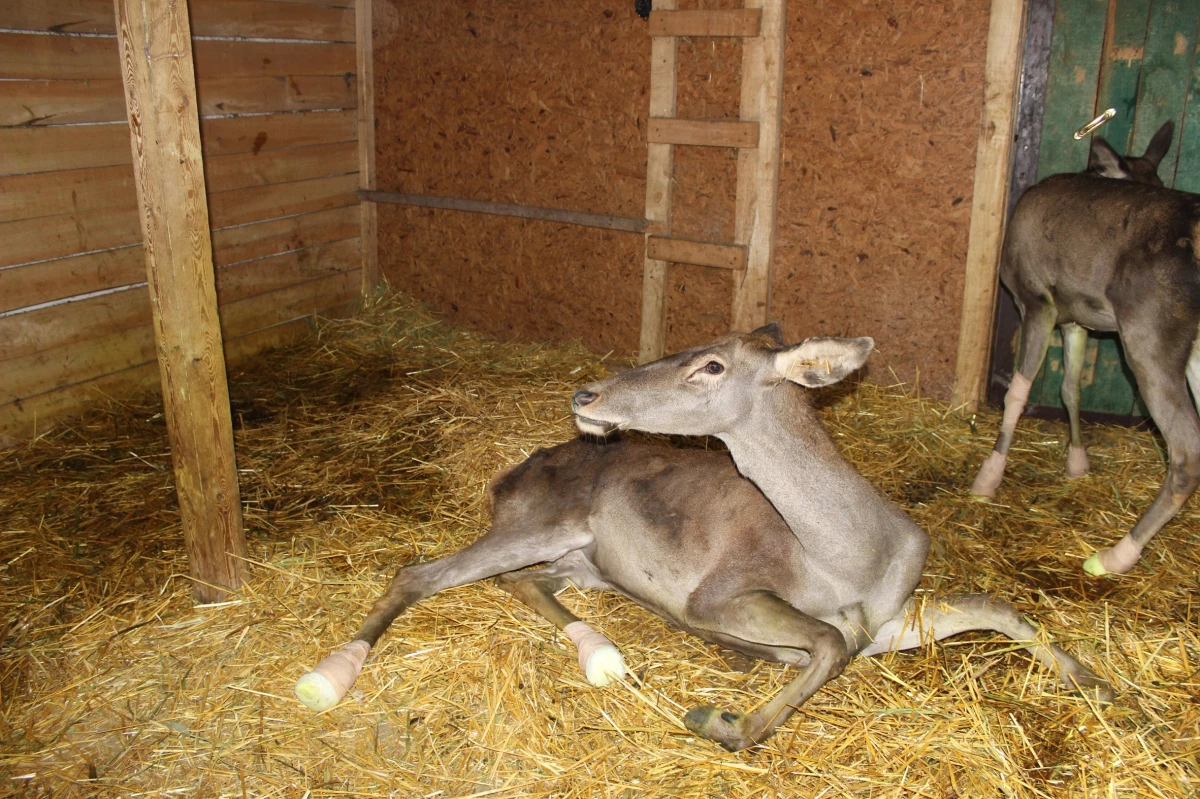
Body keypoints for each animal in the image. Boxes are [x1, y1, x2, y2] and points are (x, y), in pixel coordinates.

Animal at [295, 326, 1108, 748]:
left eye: (711, 364)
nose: (586, 393)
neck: (851, 558)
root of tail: (507, 475)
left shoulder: (891, 614)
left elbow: (991, 605)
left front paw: (1096, 681)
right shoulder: (719, 590)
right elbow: (826, 643)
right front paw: (723, 718)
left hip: (577, 558)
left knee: (521, 582)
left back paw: (600, 650)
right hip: (540, 521)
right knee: (419, 572)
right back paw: (329, 674)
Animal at [964, 119, 1200, 573]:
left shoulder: (1036, 299)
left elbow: (1018, 393)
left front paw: (987, 478)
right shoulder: (1078, 316)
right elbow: (1070, 388)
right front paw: (1077, 463)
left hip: (1150, 336)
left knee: (1186, 452)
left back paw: (1116, 554)